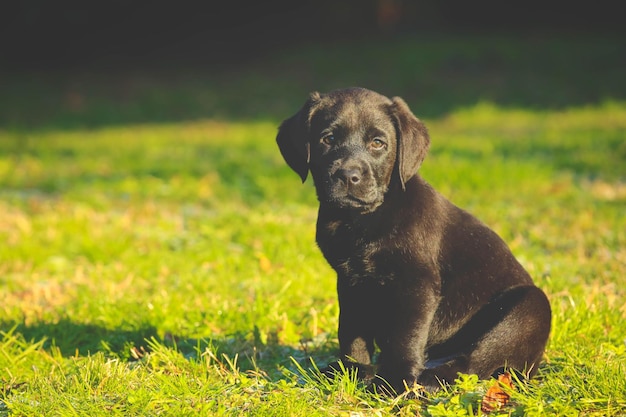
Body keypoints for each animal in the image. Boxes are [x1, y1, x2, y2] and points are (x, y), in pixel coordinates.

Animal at [276, 88, 548, 394]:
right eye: (328, 139)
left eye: (378, 143)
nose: (348, 175)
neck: (362, 219)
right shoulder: (349, 281)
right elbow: (351, 330)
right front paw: (352, 370)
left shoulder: (417, 284)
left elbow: (404, 337)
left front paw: (393, 381)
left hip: (531, 306)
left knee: (475, 361)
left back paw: (432, 377)